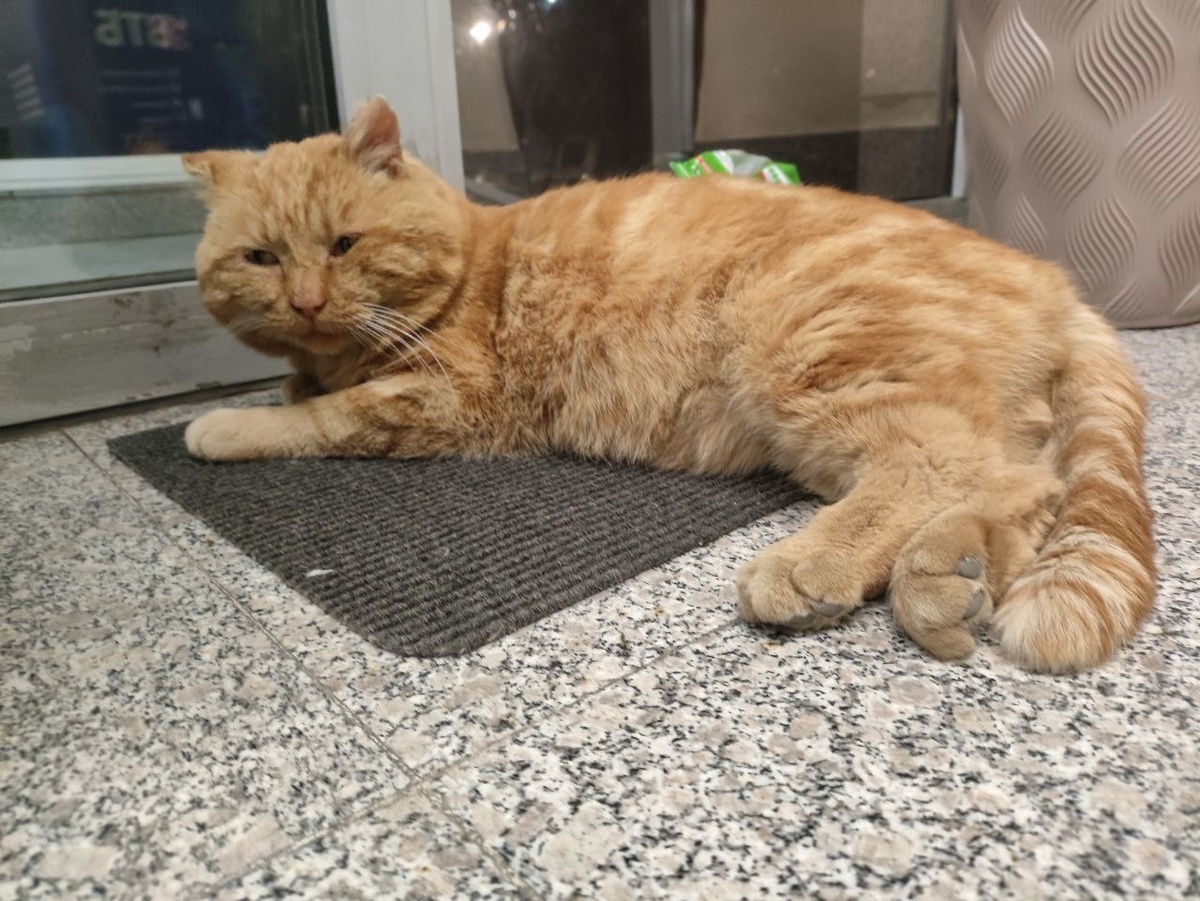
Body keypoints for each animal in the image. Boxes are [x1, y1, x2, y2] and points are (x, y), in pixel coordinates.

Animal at [182, 97, 1155, 673]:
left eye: (344, 244)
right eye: (261, 259)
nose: (308, 301)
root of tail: (1052, 276)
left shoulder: (446, 401)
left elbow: (317, 419)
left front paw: (227, 422)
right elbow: (302, 392)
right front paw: (285, 381)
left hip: (806, 354)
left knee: (943, 460)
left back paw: (818, 564)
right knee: (1024, 484)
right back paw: (947, 573)